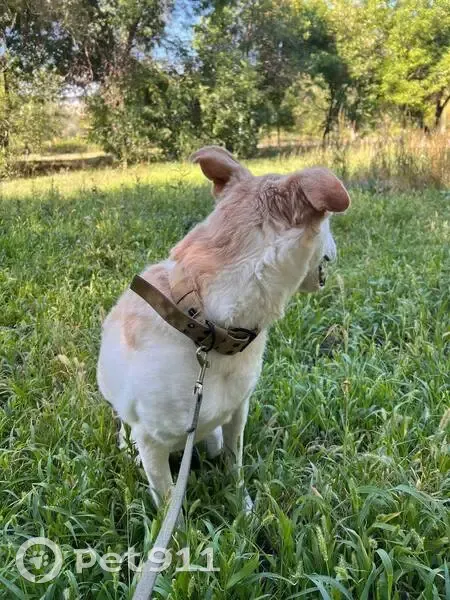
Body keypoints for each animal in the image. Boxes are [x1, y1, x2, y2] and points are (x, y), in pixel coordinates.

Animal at [97, 146, 350, 508]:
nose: (337, 249)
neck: (207, 325)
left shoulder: (236, 414)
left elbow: (235, 464)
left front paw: (244, 508)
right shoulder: (151, 445)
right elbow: (169, 502)